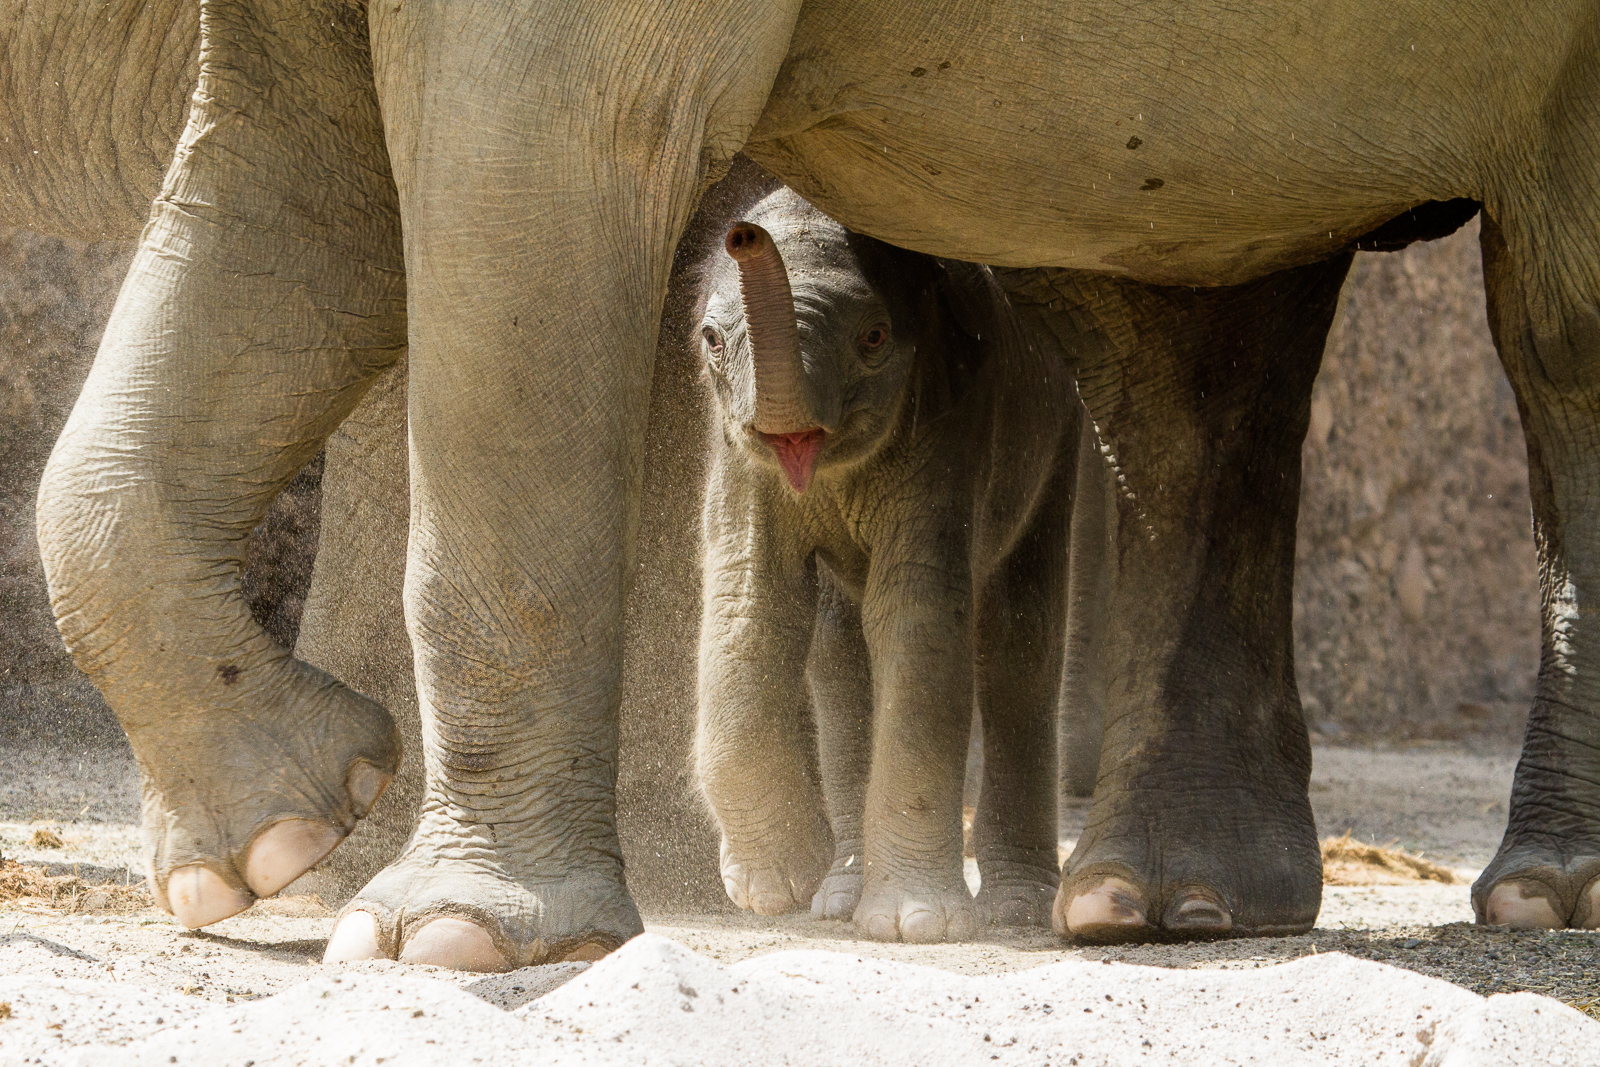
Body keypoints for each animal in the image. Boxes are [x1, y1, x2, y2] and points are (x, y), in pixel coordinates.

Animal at [694, 189, 1081, 940]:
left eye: (874, 339)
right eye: (712, 341)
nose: (742, 235)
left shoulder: (951, 426)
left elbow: (918, 616)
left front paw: (914, 925)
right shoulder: (736, 454)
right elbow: (750, 600)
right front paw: (772, 886)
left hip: (1057, 446)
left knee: (1020, 643)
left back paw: (1017, 909)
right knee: (838, 652)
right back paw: (836, 894)